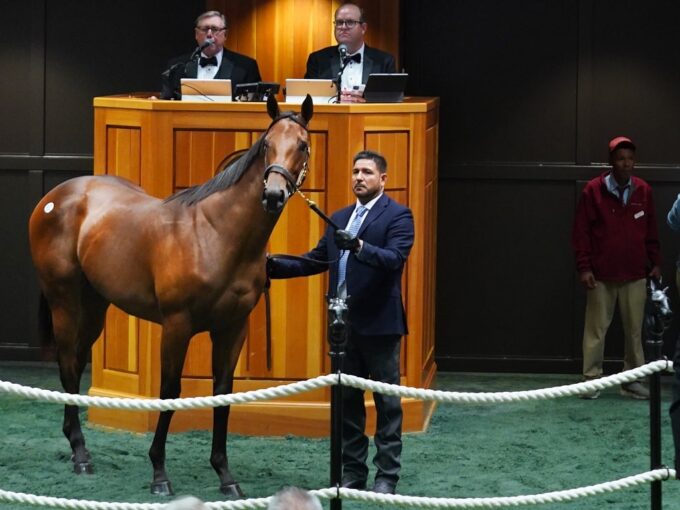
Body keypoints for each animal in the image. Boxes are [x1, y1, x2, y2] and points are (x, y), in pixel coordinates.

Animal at [26, 93, 314, 496]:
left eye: (302, 145)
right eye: (267, 144)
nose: (273, 195)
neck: (216, 234)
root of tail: (56, 195)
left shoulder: (233, 328)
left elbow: (223, 393)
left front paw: (225, 476)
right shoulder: (177, 326)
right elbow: (169, 391)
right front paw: (159, 473)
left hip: (95, 305)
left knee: (77, 360)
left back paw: (75, 444)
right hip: (64, 300)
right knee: (67, 361)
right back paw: (81, 455)